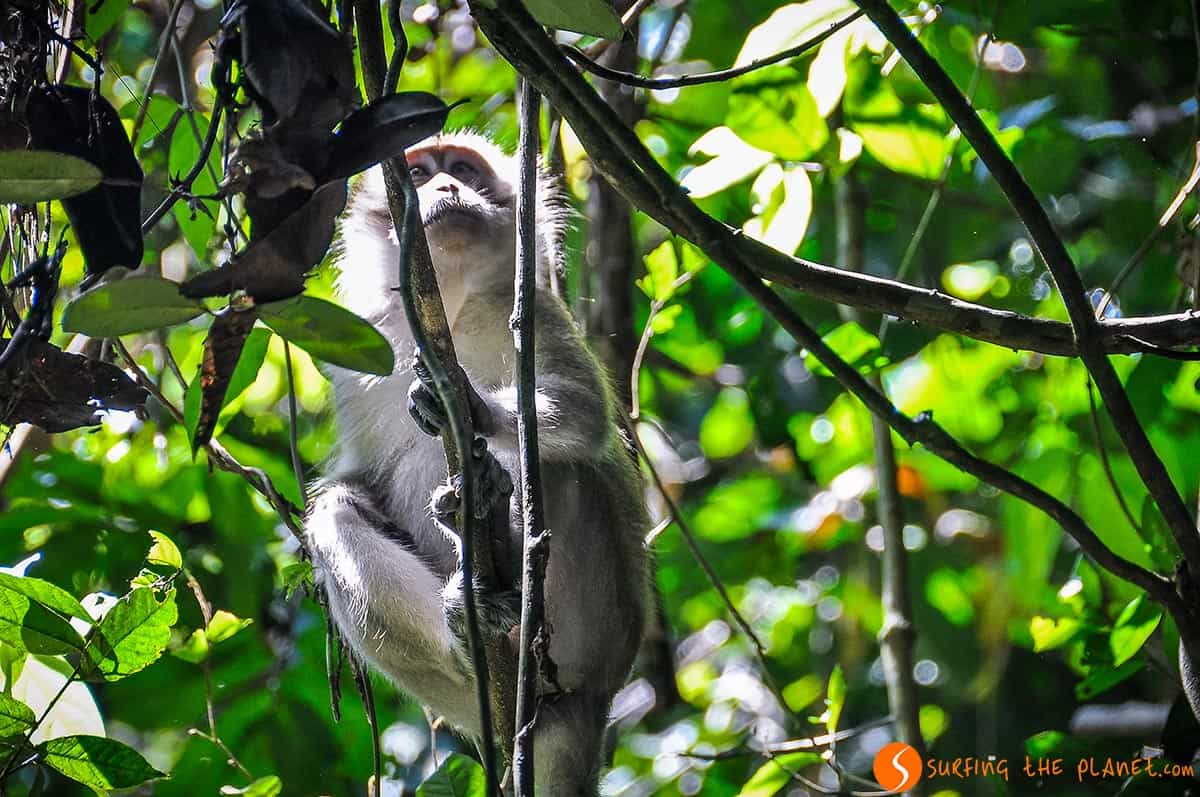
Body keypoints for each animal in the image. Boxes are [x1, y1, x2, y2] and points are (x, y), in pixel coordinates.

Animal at [305, 131, 651, 795]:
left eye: (463, 170)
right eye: (418, 174)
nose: (444, 187)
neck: (453, 306)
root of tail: (588, 707)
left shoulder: (533, 309)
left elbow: (584, 414)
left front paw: (466, 404)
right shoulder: (361, 356)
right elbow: (355, 483)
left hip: (592, 625)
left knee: (558, 467)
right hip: (465, 699)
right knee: (337, 513)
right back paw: (468, 625)